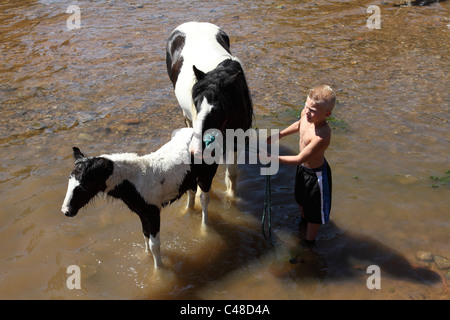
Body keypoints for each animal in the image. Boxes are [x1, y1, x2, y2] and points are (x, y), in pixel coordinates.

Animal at [60, 129, 219, 268]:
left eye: (82, 187)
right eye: (69, 181)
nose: (66, 211)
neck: (135, 181)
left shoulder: (153, 212)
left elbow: (155, 244)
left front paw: (158, 270)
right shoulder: (142, 212)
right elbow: (145, 235)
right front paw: (146, 257)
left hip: (206, 176)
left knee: (204, 199)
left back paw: (204, 229)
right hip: (190, 178)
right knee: (192, 193)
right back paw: (187, 212)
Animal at [166, 21, 253, 198]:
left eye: (218, 110)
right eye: (196, 104)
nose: (195, 150)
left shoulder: (236, 140)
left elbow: (232, 173)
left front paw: (231, 199)